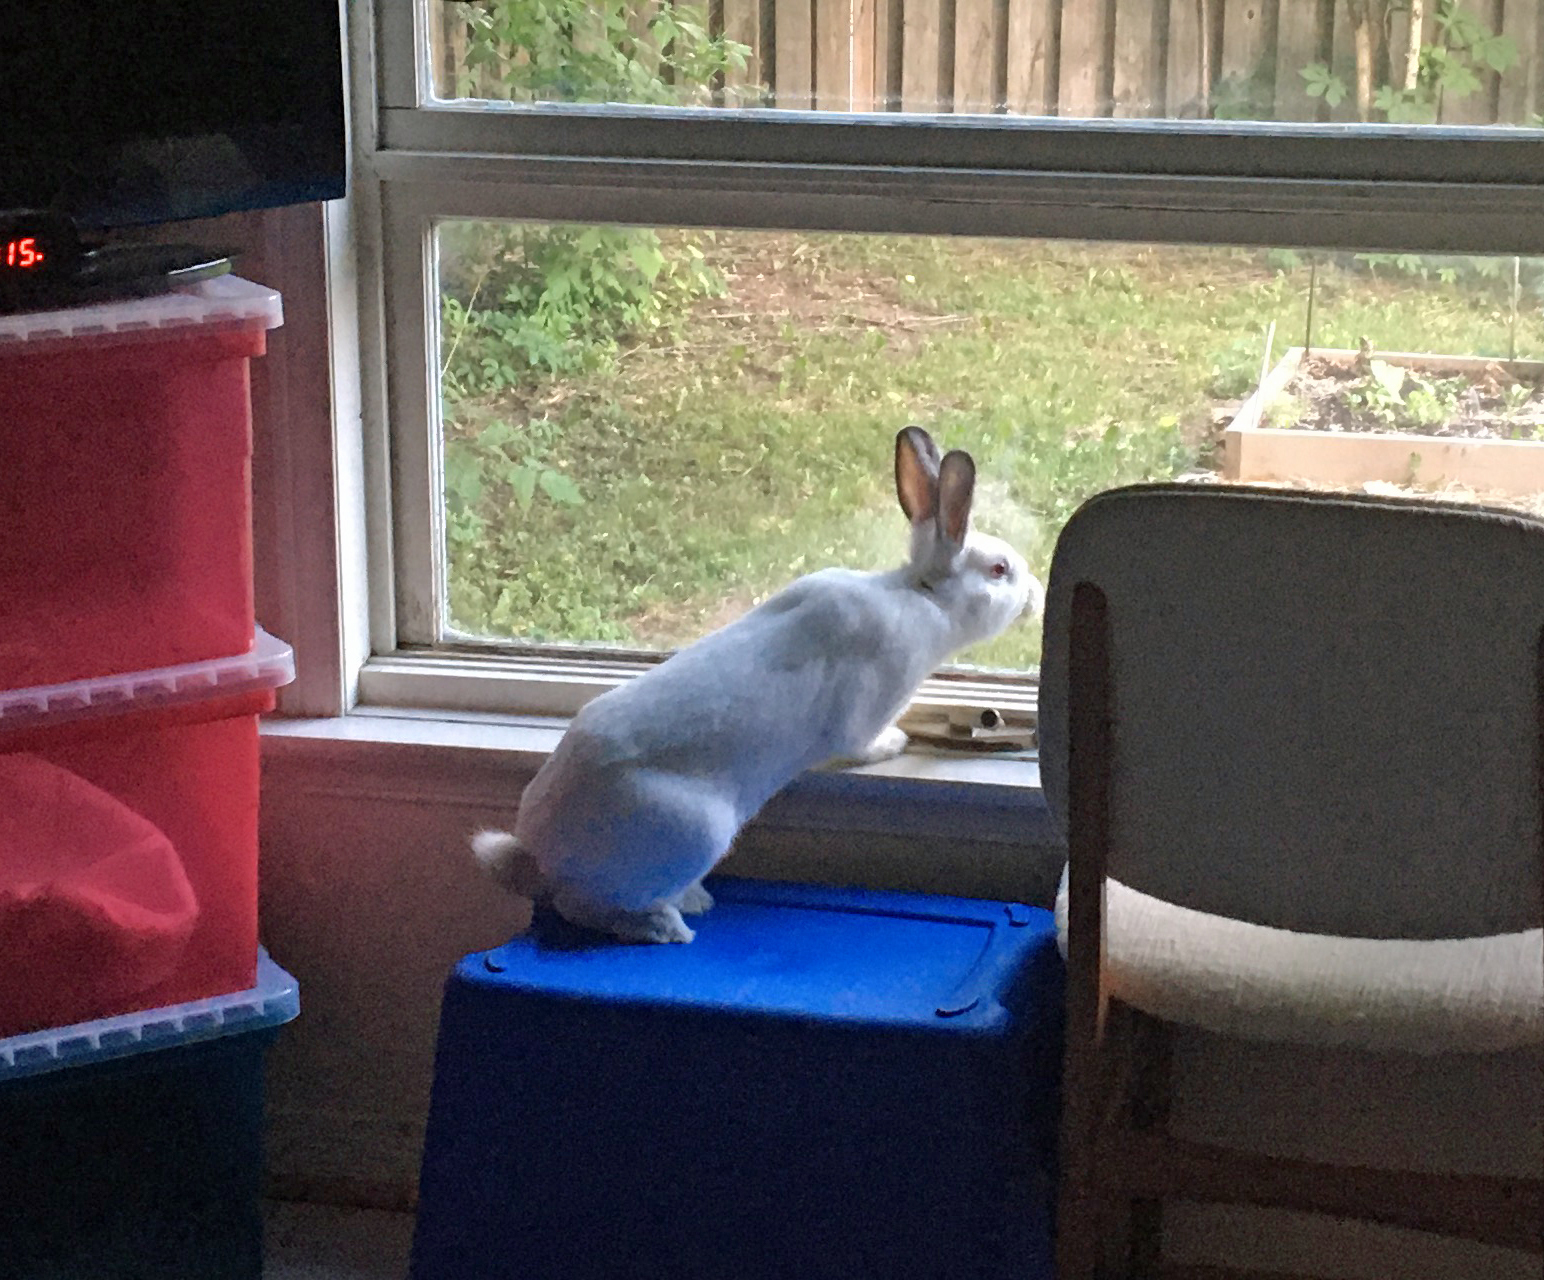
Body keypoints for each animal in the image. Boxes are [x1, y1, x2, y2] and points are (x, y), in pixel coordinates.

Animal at [471, 425, 1041, 944]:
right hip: (692, 833)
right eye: (999, 570)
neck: (922, 595)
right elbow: (858, 745)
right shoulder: (864, 710)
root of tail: (541, 850)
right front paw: (896, 743)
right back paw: (668, 926)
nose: (1035, 595)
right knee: (583, 907)